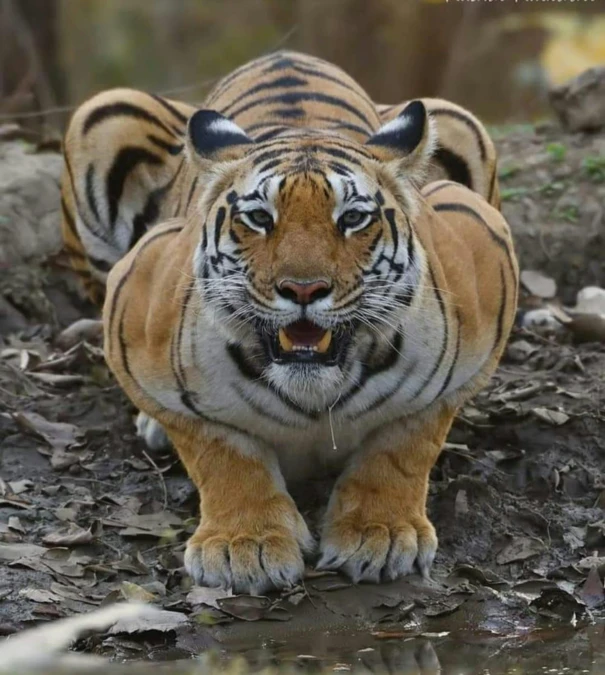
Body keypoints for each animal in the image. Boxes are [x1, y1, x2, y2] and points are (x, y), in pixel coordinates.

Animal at [60, 51, 516, 592]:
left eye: (353, 219)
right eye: (259, 218)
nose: (303, 290)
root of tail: (286, 56)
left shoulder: (480, 290)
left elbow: (405, 444)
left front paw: (379, 534)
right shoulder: (133, 303)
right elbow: (221, 451)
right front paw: (245, 545)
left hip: (462, 125)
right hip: (103, 115)